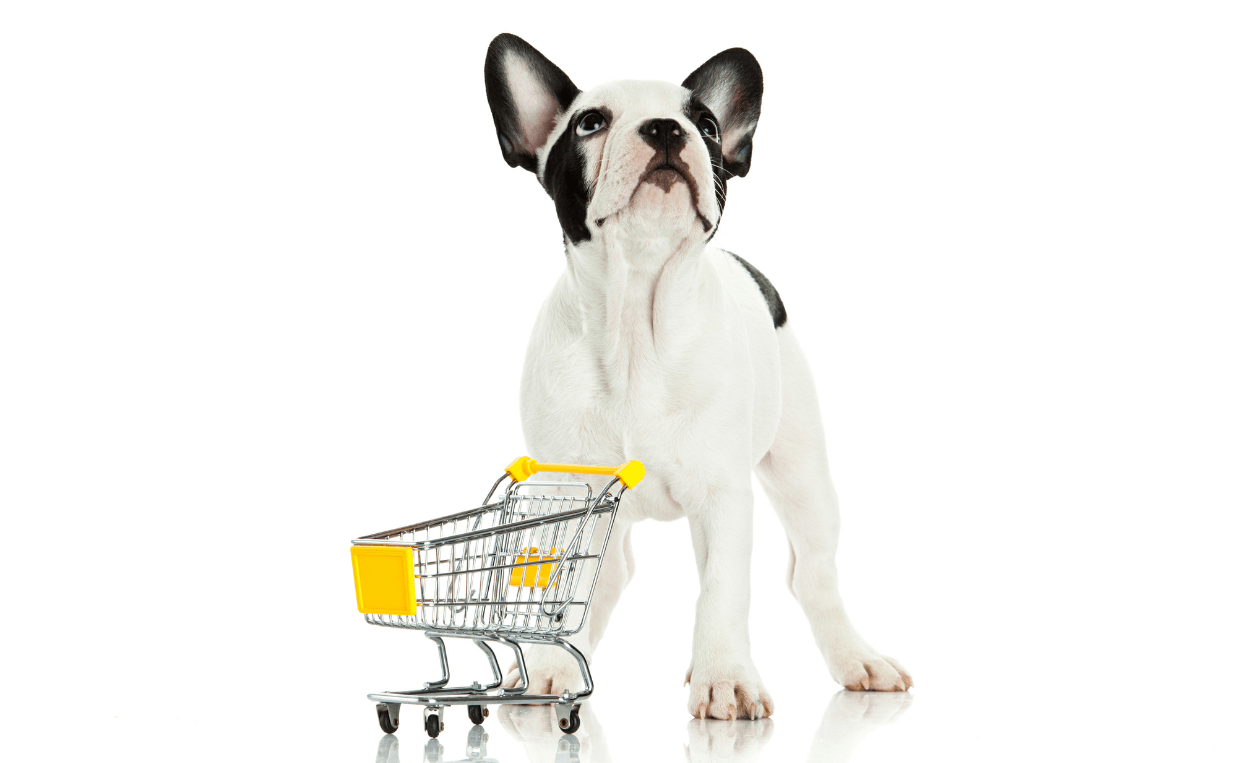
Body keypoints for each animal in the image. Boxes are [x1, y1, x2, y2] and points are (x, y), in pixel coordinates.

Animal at [482, 31, 911, 723]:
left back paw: (857, 658)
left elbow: (722, 591)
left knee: (813, 574)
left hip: (803, 474)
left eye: (706, 126)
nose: (666, 128)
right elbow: (561, 583)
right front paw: (554, 665)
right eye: (590, 123)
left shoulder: (723, 496)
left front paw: (725, 678)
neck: (636, 319)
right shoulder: (564, 494)